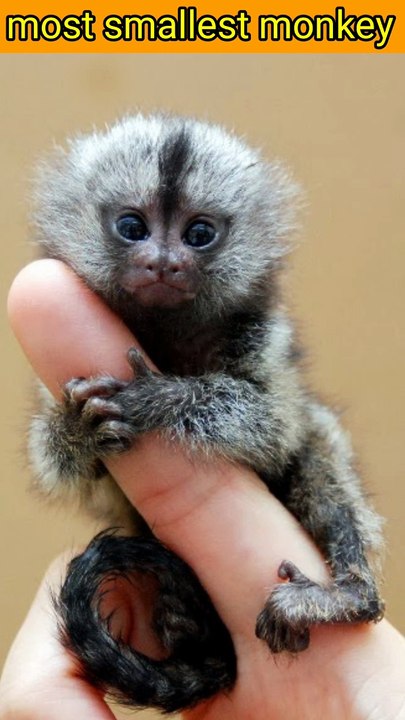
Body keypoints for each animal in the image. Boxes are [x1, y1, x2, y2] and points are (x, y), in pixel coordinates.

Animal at [27, 113, 385, 713]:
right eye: (132, 227)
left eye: (198, 235)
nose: (163, 263)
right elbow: (71, 471)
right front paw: (75, 430)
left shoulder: (259, 335)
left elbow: (276, 427)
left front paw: (160, 398)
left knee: (318, 446)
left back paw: (350, 597)